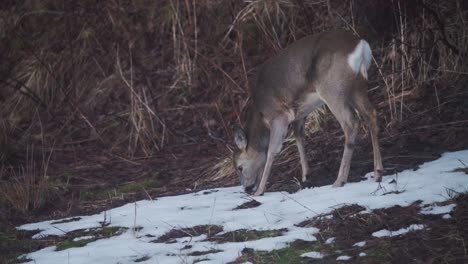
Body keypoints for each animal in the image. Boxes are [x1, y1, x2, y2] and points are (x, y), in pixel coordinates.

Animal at [233, 30, 384, 196]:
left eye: (240, 167)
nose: (247, 188)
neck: (260, 114)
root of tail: (361, 46)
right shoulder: (299, 113)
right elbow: (299, 137)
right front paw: (306, 176)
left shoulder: (279, 116)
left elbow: (272, 150)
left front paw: (260, 190)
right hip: (356, 88)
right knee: (371, 114)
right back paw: (378, 173)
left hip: (332, 90)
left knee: (351, 123)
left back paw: (340, 180)